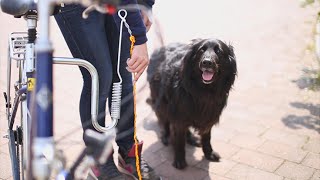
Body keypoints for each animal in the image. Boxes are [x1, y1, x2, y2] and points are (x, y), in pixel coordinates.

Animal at [146, 38, 236, 169]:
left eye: (218, 51)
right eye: (201, 50)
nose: (207, 62)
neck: (203, 91)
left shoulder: (208, 117)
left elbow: (206, 138)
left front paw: (209, 153)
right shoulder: (178, 115)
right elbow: (179, 141)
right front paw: (179, 160)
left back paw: (191, 138)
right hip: (161, 101)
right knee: (164, 120)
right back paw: (166, 136)